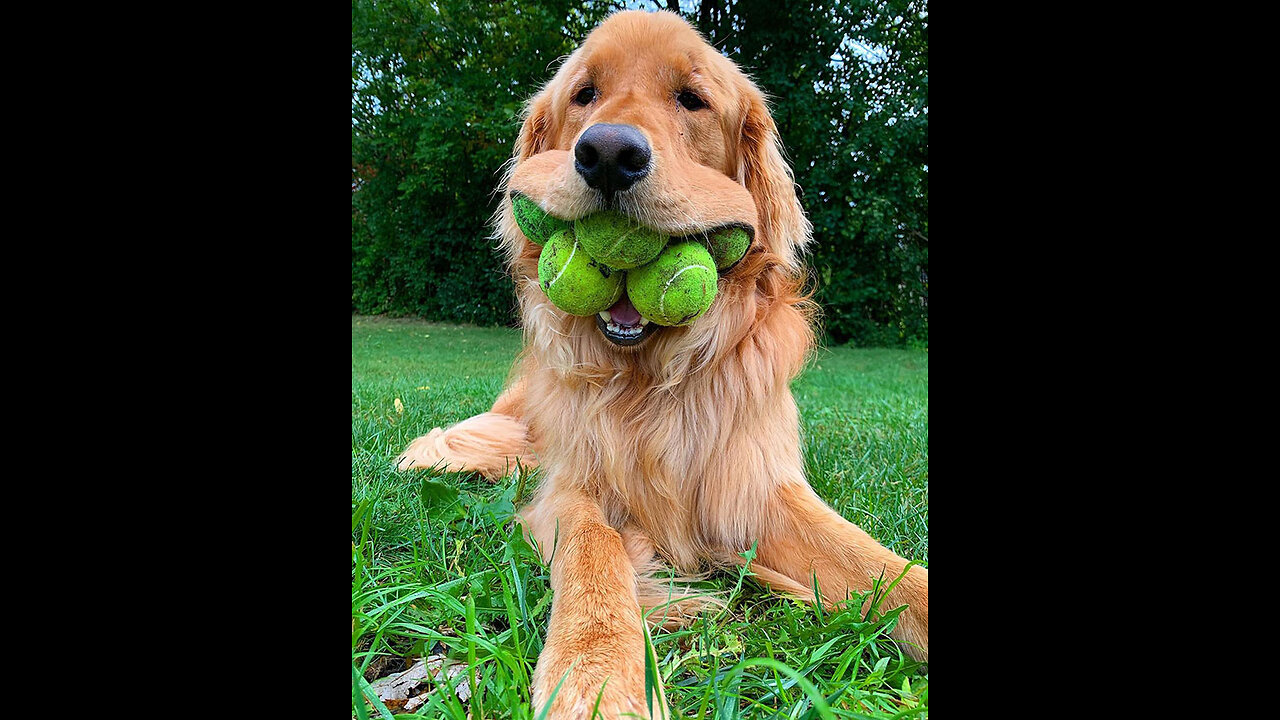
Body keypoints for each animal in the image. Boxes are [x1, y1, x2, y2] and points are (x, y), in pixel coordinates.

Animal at [394, 8, 926, 712]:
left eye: (691, 99)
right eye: (584, 94)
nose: (608, 154)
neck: (649, 379)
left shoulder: (754, 485)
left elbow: (887, 570)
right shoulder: (574, 486)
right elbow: (595, 552)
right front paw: (597, 678)